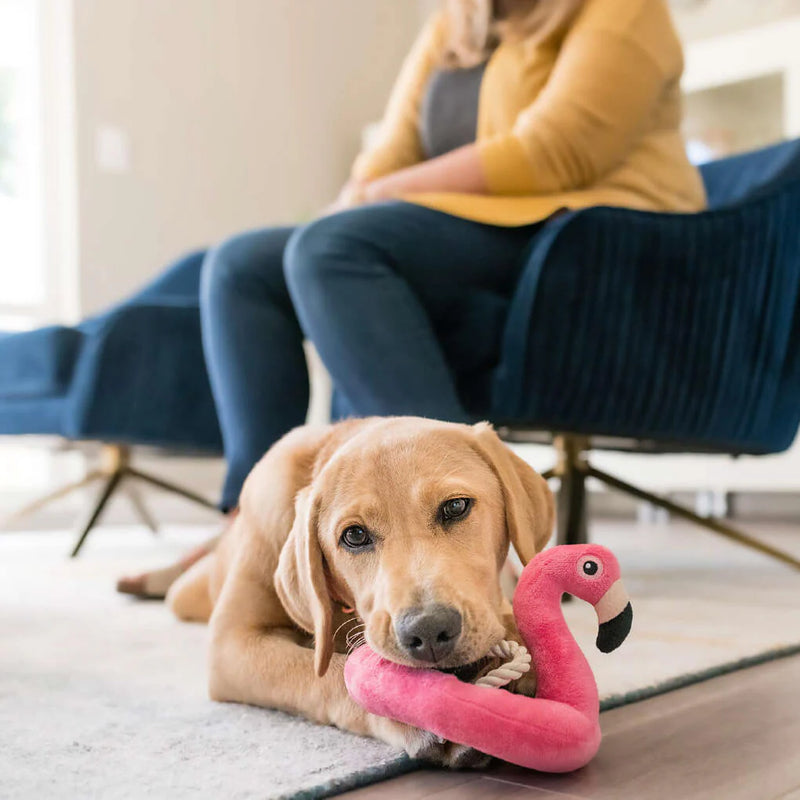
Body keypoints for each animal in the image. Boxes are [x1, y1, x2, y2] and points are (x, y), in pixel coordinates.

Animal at [166, 416, 552, 764]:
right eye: (354, 536)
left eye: (456, 506)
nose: (428, 631)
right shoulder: (233, 644)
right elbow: (330, 675)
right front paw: (408, 709)